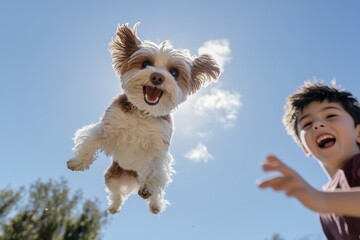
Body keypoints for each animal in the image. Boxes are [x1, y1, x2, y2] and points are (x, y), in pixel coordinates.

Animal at [66, 22, 221, 214]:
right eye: (145, 64)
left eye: (174, 72)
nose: (157, 77)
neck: (143, 114)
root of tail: (133, 178)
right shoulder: (107, 127)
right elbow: (90, 140)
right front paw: (77, 162)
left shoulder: (158, 148)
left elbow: (155, 168)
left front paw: (148, 188)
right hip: (113, 176)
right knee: (116, 193)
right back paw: (114, 206)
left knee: (158, 189)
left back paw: (155, 204)